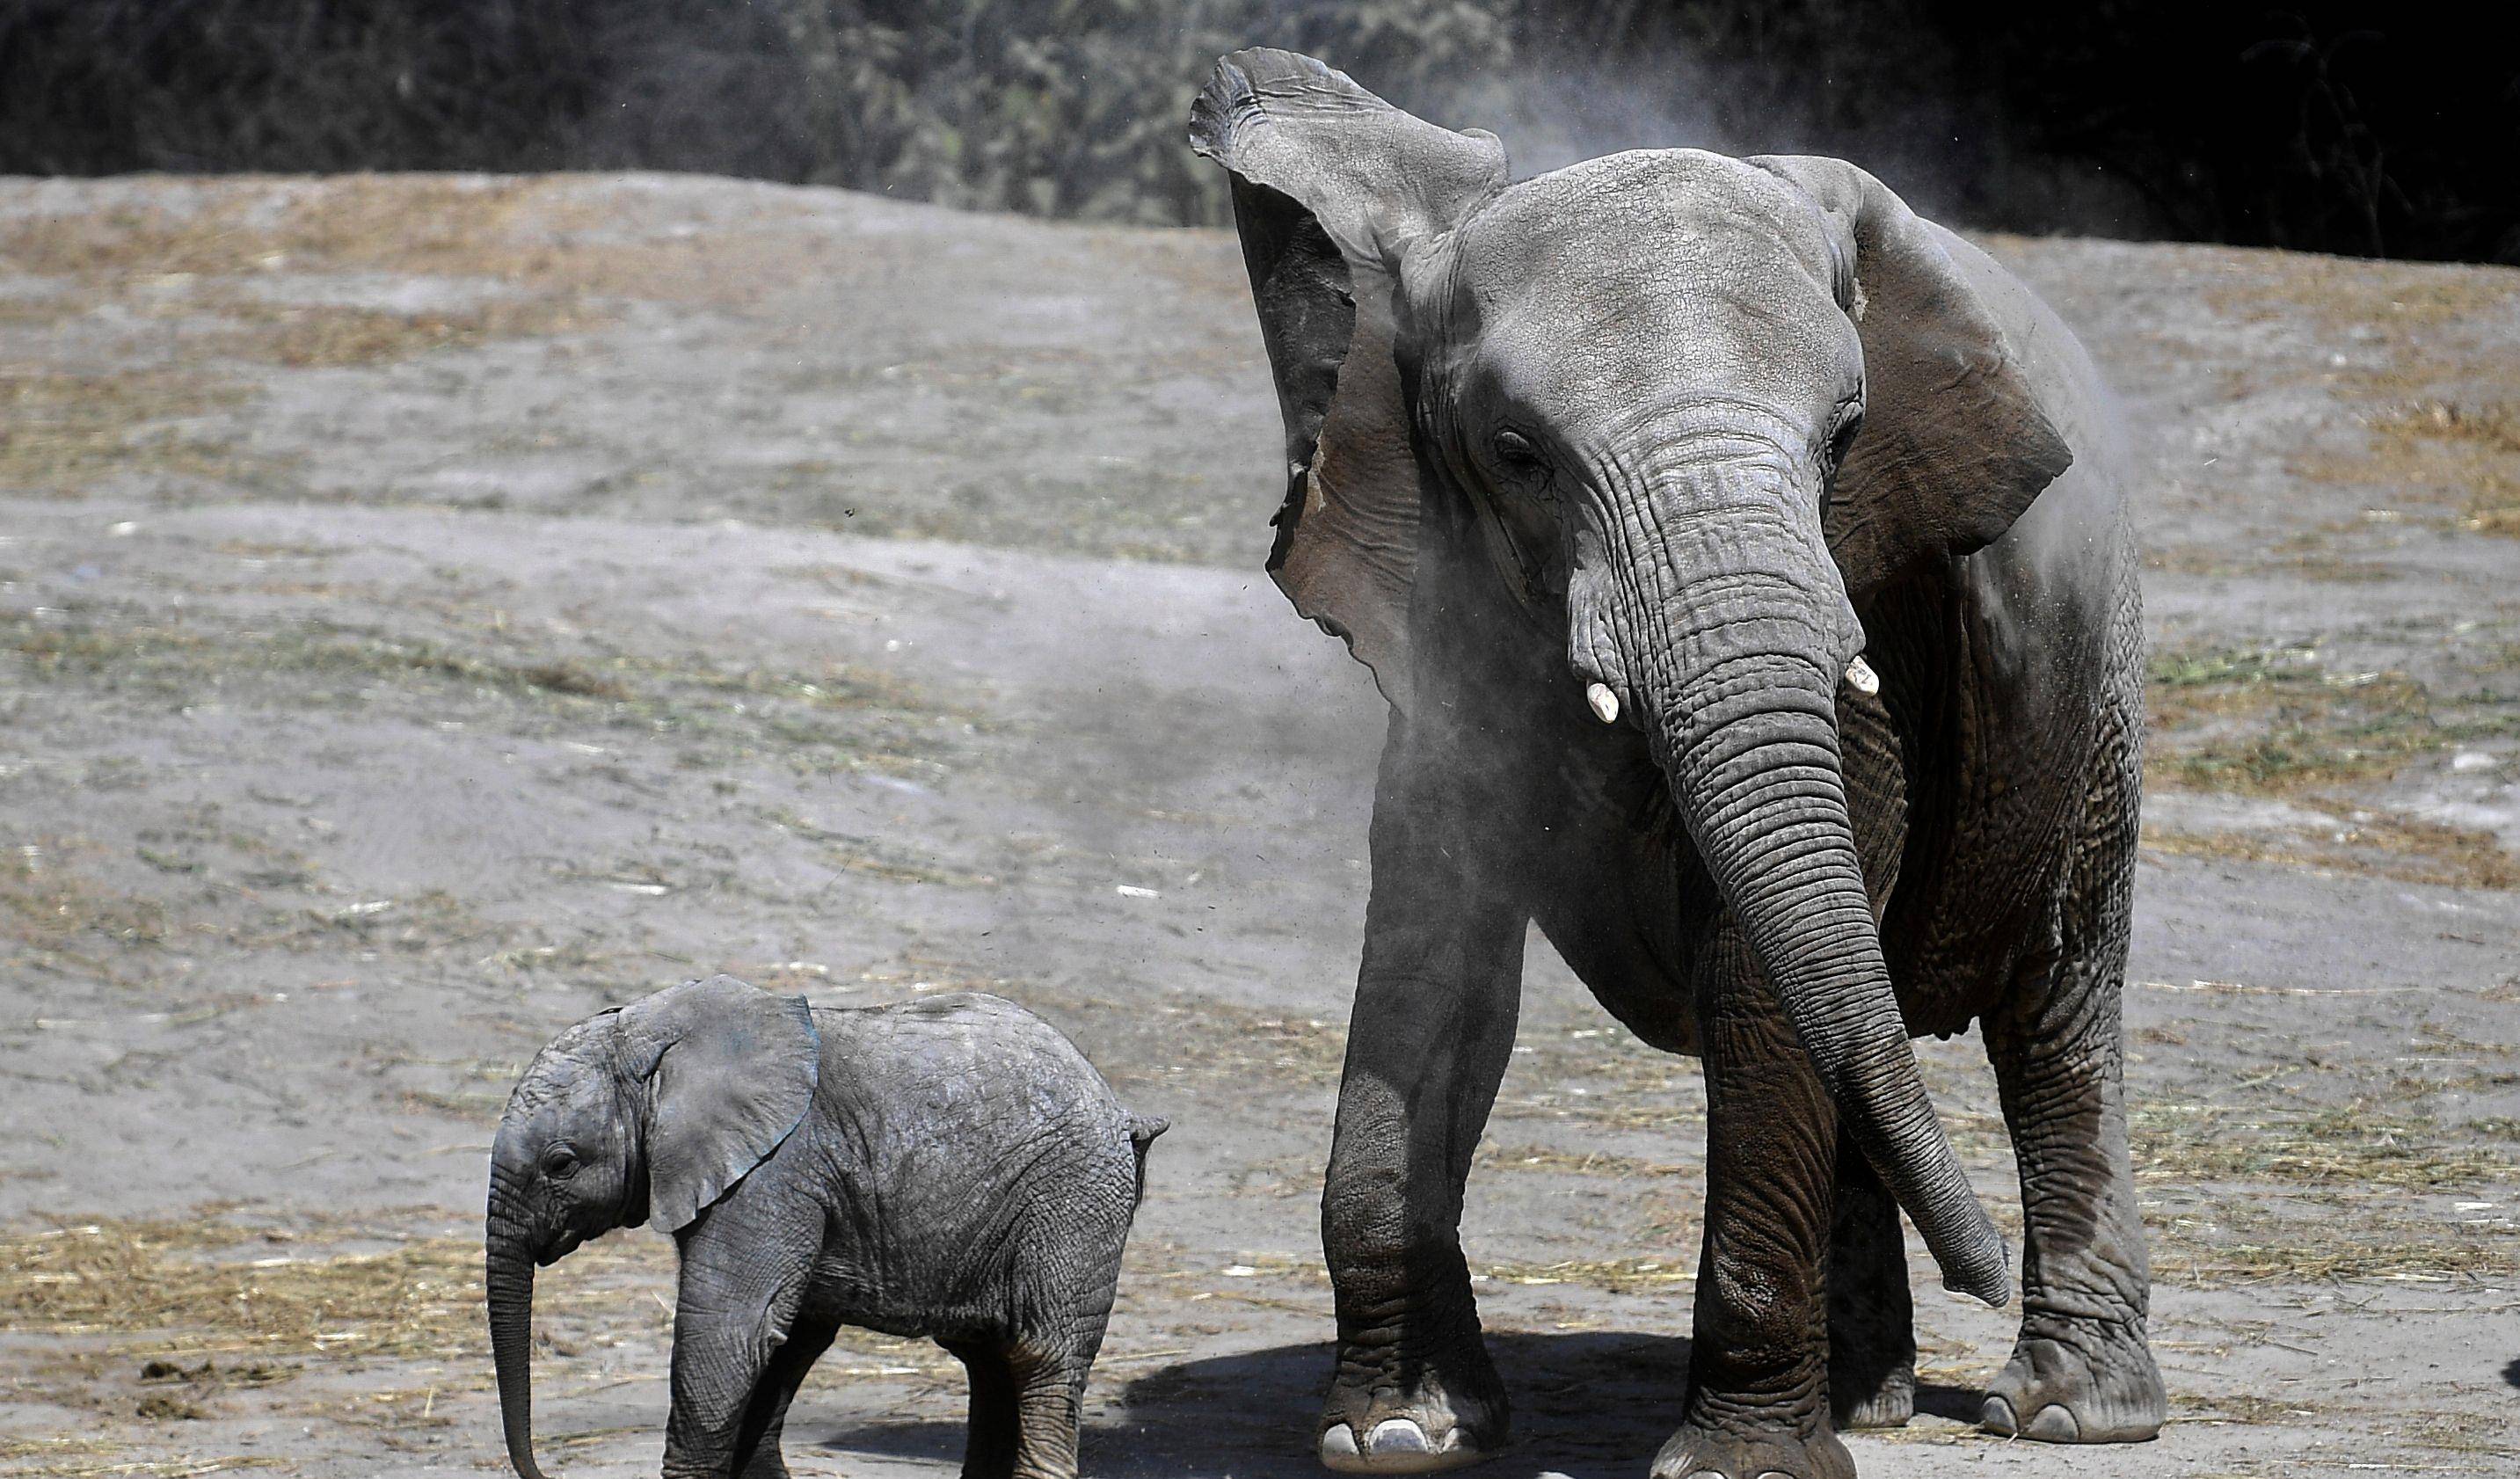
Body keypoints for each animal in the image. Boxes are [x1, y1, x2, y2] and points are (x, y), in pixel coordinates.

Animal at [486, 977, 1164, 1479]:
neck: (660, 1034)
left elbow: (733, 1331)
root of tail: (1123, 1112)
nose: (541, 1471)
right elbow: (783, 1341)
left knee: (1042, 1358)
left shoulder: (774, 1174)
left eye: (561, 1164)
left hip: (1073, 1207)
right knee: (990, 1362)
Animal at [1189, 46, 2157, 1479]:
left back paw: (2064, 1411)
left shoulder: (1869, 620)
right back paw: (1865, 1397)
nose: (1973, 1270)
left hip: (2095, 697)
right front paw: (1402, 1429)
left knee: (2053, 1004)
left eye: (1845, 436)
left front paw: (1738, 1467)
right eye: (1517, 456)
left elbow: (1761, 974)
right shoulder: (1445, 631)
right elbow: (1431, 959)